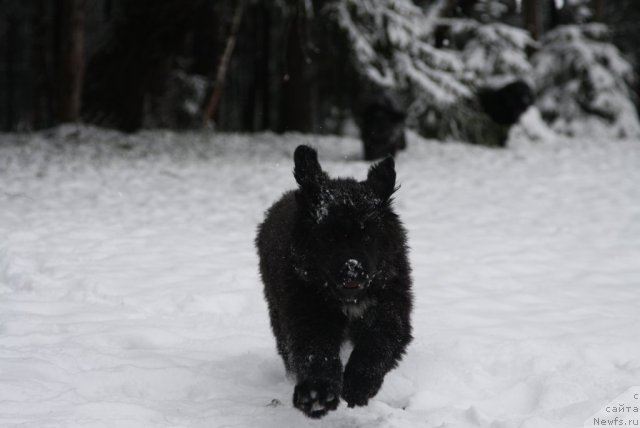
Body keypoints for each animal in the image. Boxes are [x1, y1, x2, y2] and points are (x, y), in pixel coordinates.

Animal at [256, 145, 412, 418]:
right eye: (328, 237)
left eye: (368, 236)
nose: (352, 269)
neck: (348, 299)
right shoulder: (308, 310)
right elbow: (317, 354)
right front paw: (316, 394)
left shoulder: (390, 307)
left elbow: (376, 345)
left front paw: (358, 385)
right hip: (276, 307)